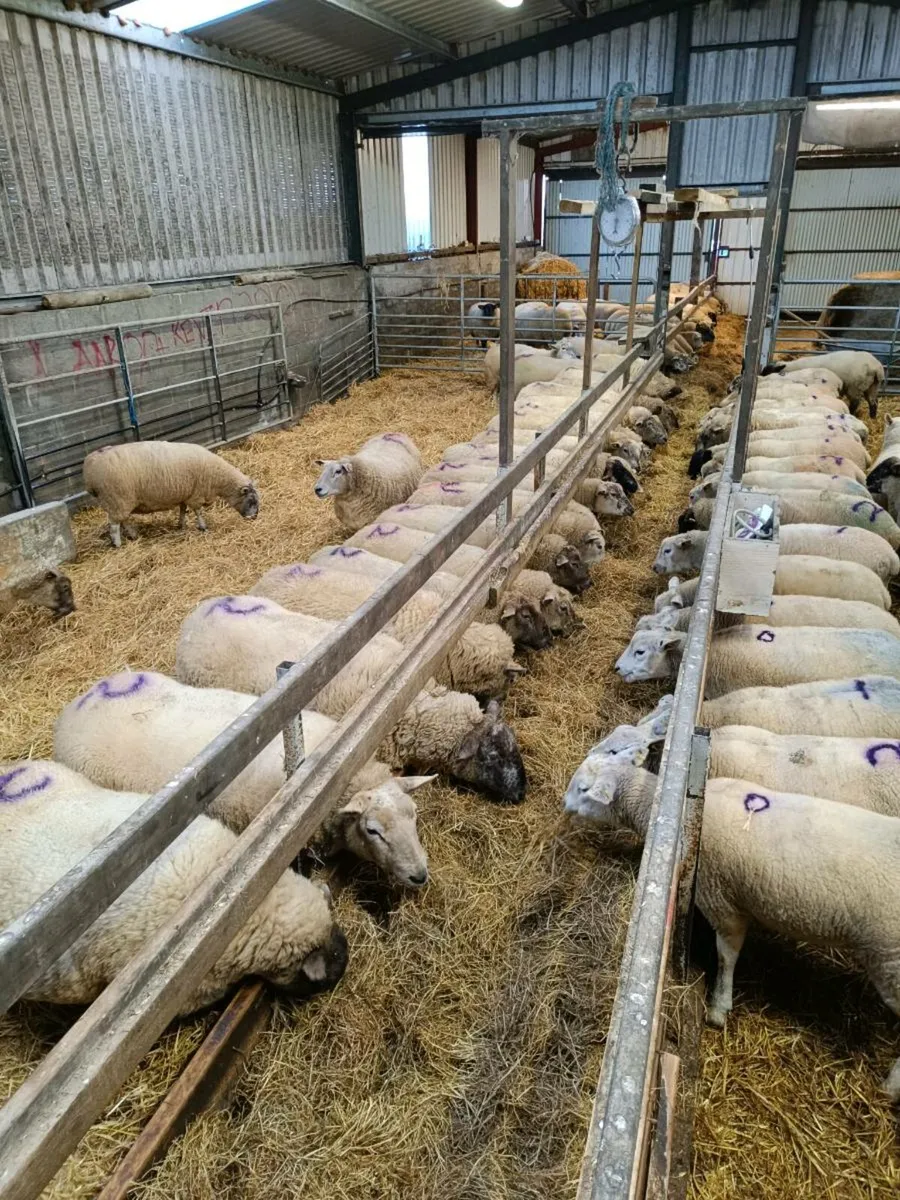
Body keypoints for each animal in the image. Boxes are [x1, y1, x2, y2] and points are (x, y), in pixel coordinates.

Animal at [83, 440, 259, 548]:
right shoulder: (196, 494)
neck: (218, 478)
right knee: (114, 525)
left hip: (120, 501)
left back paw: (133, 535)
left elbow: (183, 510)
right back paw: (117, 544)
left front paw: (181, 525)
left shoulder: (185, 493)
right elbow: (198, 511)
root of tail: (89, 467)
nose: (254, 518)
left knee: (123, 520)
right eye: (251, 500)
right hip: (116, 498)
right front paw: (203, 527)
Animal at [561, 759, 900, 1098]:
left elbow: (727, 956)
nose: (563, 807)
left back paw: (891, 1087)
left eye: (584, 789)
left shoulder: (721, 900)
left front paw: (718, 1007)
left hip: (890, 958)